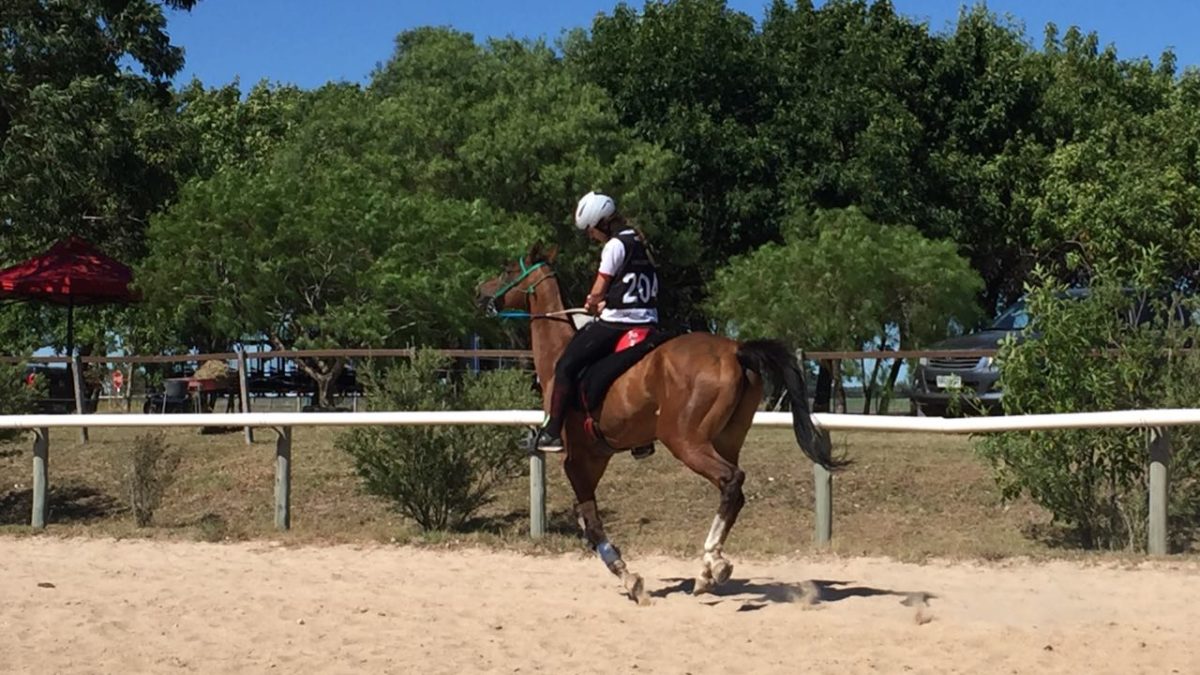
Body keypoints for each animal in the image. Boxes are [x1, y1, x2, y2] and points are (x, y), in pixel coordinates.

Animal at [475, 243, 844, 600]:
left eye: (507, 269)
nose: (480, 293)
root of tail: (735, 350)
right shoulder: (597, 457)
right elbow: (586, 518)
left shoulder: (577, 460)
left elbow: (591, 523)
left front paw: (629, 578)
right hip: (724, 439)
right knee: (733, 493)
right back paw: (707, 571)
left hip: (685, 441)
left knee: (731, 480)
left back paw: (713, 561)